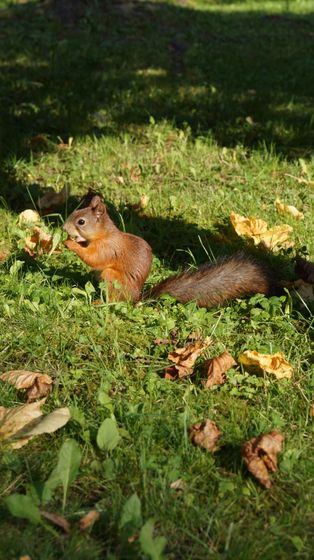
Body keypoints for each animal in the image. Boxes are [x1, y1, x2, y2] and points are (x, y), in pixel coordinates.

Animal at [63, 196, 278, 306]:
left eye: (81, 221)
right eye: (76, 212)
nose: (64, 228)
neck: (103, 234)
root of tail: (136, 299)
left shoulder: (110, 248)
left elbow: (94, 258)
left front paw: (70, 243)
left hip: (112, 278)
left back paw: (100, 303)